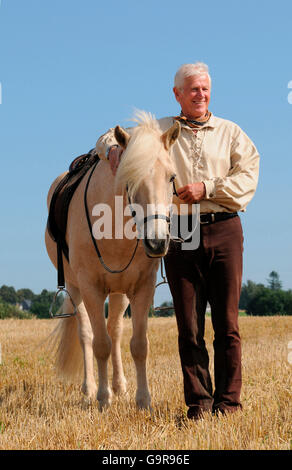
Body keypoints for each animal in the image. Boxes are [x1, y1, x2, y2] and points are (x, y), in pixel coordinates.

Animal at [45, 112, 180, 410]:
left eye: (171, 177)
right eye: (129, 178)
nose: (157, 242)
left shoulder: (141, 288)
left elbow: (139, 344)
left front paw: (143, 400)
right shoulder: (91, 288)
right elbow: (100, 345)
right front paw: (103, 399)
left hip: (120, 292)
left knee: (115, 331)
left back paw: (120, 386)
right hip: (75, 288)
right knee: (87, 335)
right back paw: (90, 389)